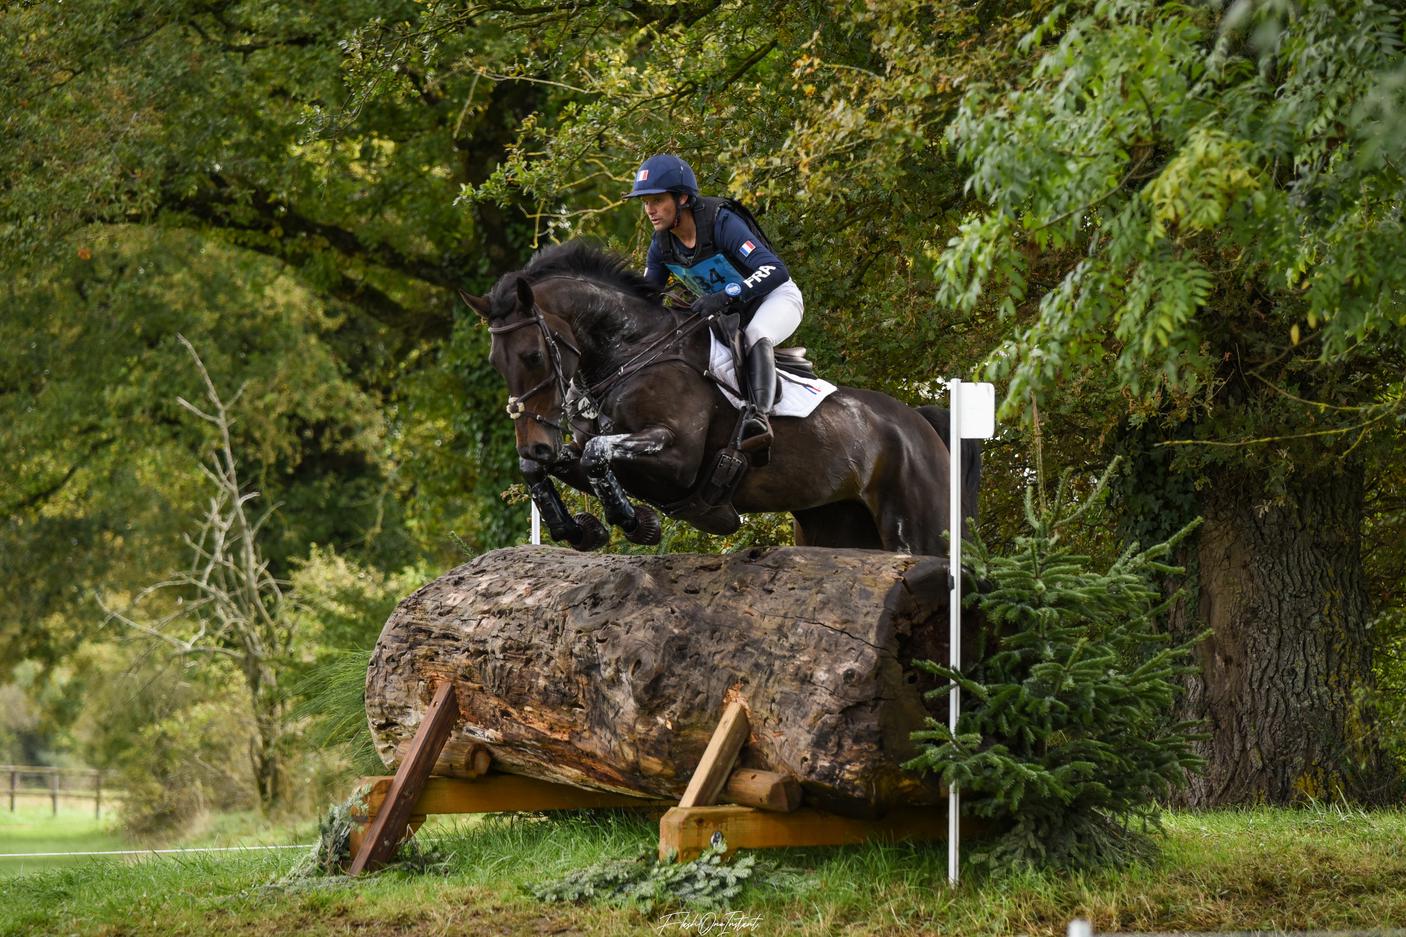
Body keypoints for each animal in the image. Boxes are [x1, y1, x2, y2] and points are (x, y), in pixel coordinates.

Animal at [461, 237, 978, 554]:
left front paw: (637, 523)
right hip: (836, 524)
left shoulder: (677, 461)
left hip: (918, 529)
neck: (630, 353)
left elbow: (596, 455)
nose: (534, 443)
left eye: (532, 356)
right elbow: (553, 466)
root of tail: (919, 421)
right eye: (495, 363)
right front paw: (578, 530)